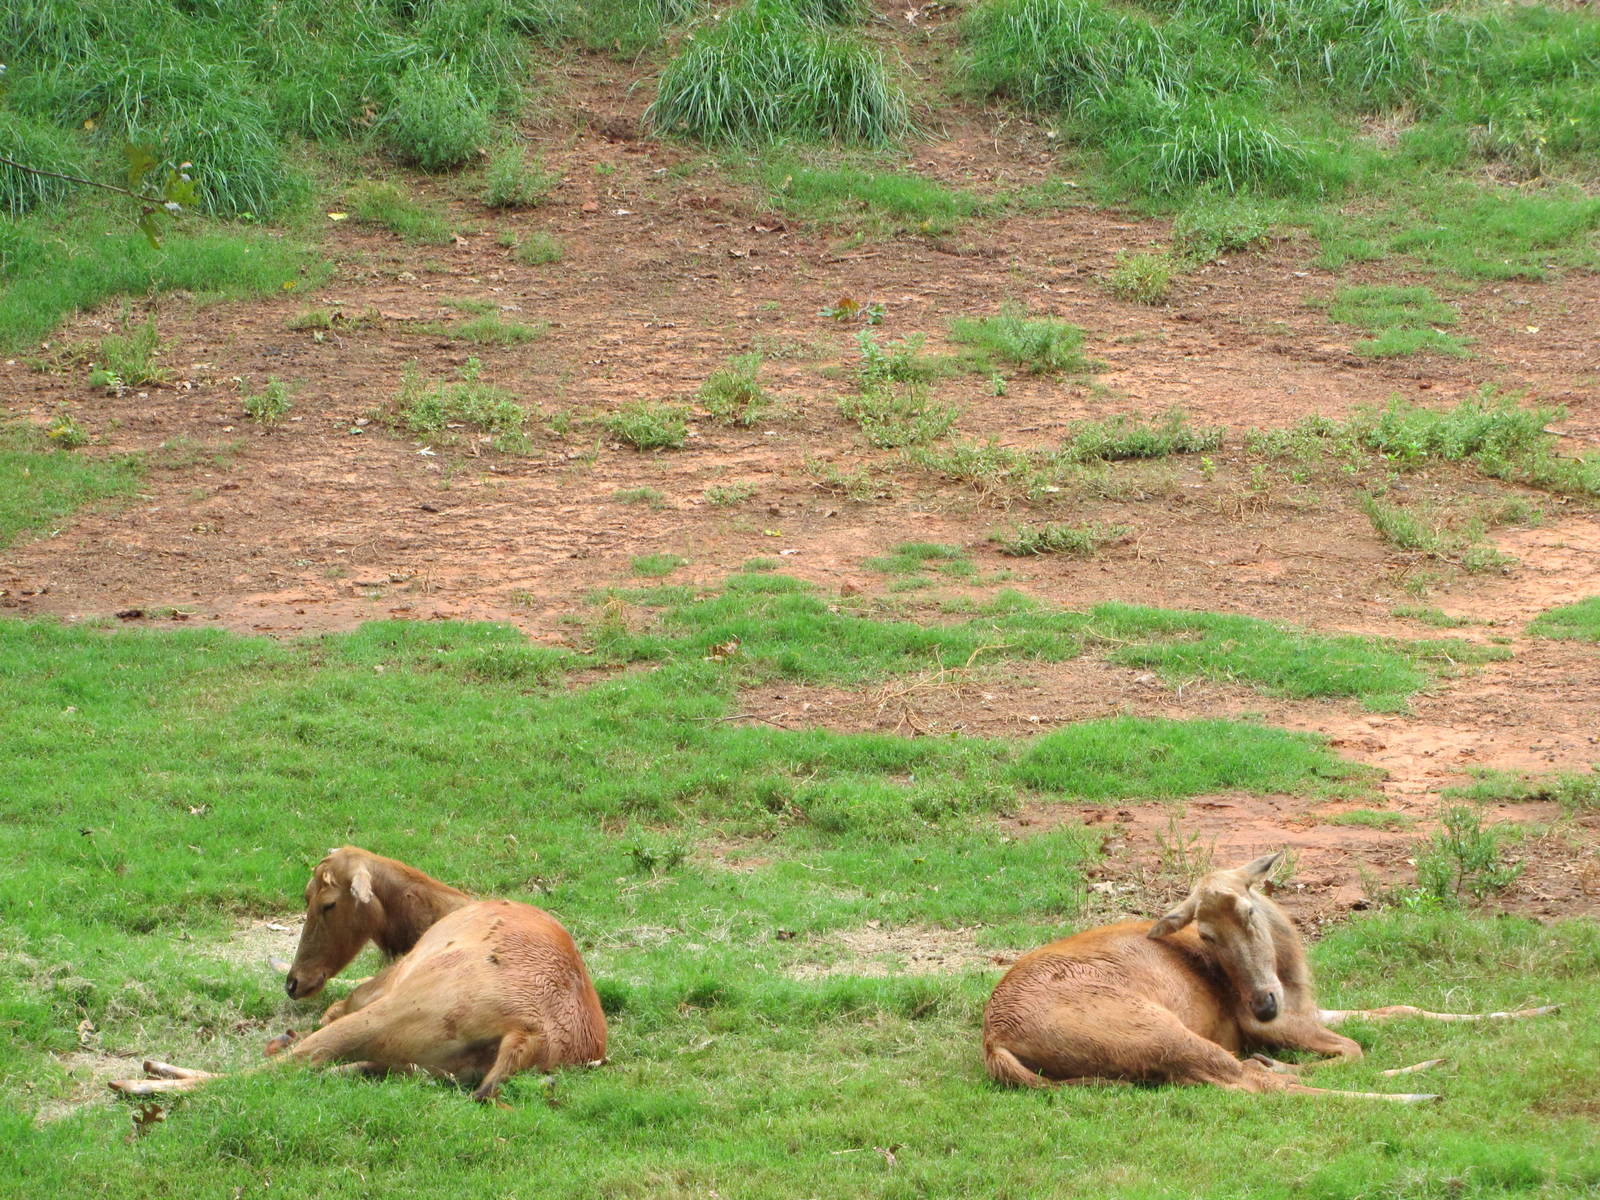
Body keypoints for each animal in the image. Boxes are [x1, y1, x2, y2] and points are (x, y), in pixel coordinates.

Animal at [111, 847, 606, 1103]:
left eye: (325, 901)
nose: (295, 981)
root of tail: (528, 1037)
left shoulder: (383, 982)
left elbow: (334, 1004)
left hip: (391, 1013)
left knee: (289, 1067)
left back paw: (139, 1081)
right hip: (419, 1067)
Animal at [983, 851, 1557, 1101]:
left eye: (1249, 909)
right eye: (1205, 934)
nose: (1261, 1004)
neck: (1291, 974)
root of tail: (995, 1042)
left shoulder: (1306, 1009)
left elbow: (1401, 1008)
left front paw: (1542, 1007)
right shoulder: (1277, 1024)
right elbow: (1355, 1047)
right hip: (1154, 1029)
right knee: (1254, 1082)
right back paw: (1416, 1094)